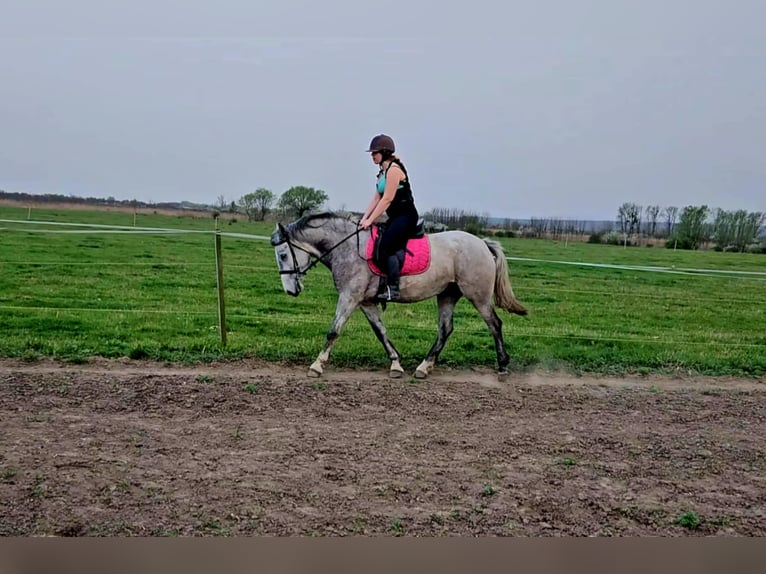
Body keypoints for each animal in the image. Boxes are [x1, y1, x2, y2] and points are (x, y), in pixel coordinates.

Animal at [270, 214, 528, 380]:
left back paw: (503, 365)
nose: (290, 291)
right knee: (445, 329)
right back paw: (424, 367)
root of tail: (482, 243)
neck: (348, 248)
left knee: (494, 324)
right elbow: (380, 331)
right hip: (447, 294)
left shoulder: (350, 297)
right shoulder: (365, 302)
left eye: (283, 255)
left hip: (478, 296)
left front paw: (317, 365)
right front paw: (396, 364)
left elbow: (334, 330)